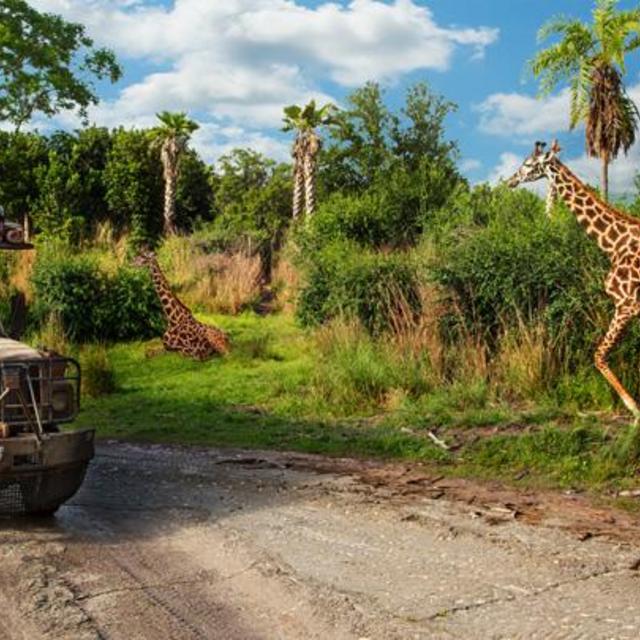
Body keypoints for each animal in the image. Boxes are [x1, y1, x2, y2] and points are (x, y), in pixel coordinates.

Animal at [507, 139, 640, 421]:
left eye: (528, 164)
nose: (511, 180)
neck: (614, 245)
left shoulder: (626, 305)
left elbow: (598, 355)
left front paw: (634, 409)